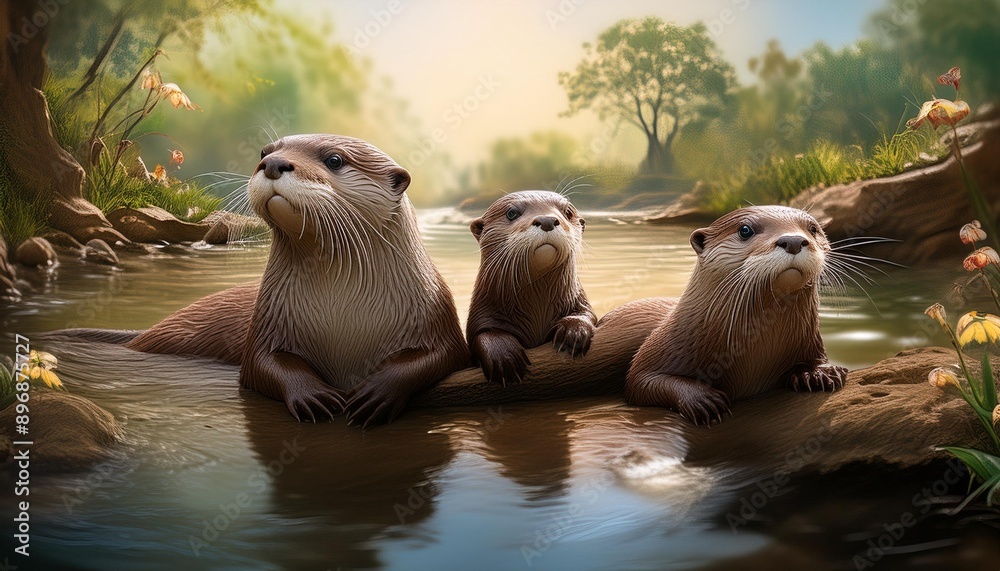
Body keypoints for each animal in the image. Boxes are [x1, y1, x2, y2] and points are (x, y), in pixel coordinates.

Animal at [129, 135, 470, 426]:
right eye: (264, 152)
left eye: (334, 159)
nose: (273, 164)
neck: (344, 315)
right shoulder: (267, 319)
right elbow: (259, 363)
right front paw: (311, 395)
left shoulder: (434, 315)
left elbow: (442, 356)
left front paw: (377, 393)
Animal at [466, 191, 596, 385]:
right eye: (511, 213)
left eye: (567, 212)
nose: (547, 220)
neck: (537, 309)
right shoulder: (482, 314)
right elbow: (481, 334)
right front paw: (503, 354)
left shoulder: (578, 299)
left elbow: (587, 314)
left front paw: (574, 331)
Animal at [625, 205, 847, 426]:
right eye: (745, 230)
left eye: (813, 228)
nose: (793, 241)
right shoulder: (657, 353)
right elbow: (640, 381)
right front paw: (701, 399)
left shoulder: (811, 340)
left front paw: (819, 372)